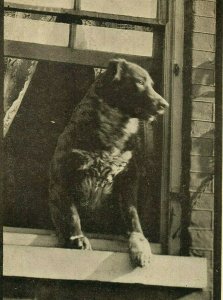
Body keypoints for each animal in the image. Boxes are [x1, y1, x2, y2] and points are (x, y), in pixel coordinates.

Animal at [48, 58, 167, 268]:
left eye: (152, 84)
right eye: (140, 82)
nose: (165, 105)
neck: (114, 129)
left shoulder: (127, 181)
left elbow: (133, 219)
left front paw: (141, 248)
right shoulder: (62, 180)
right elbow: (71, 214)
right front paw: (77, 238)